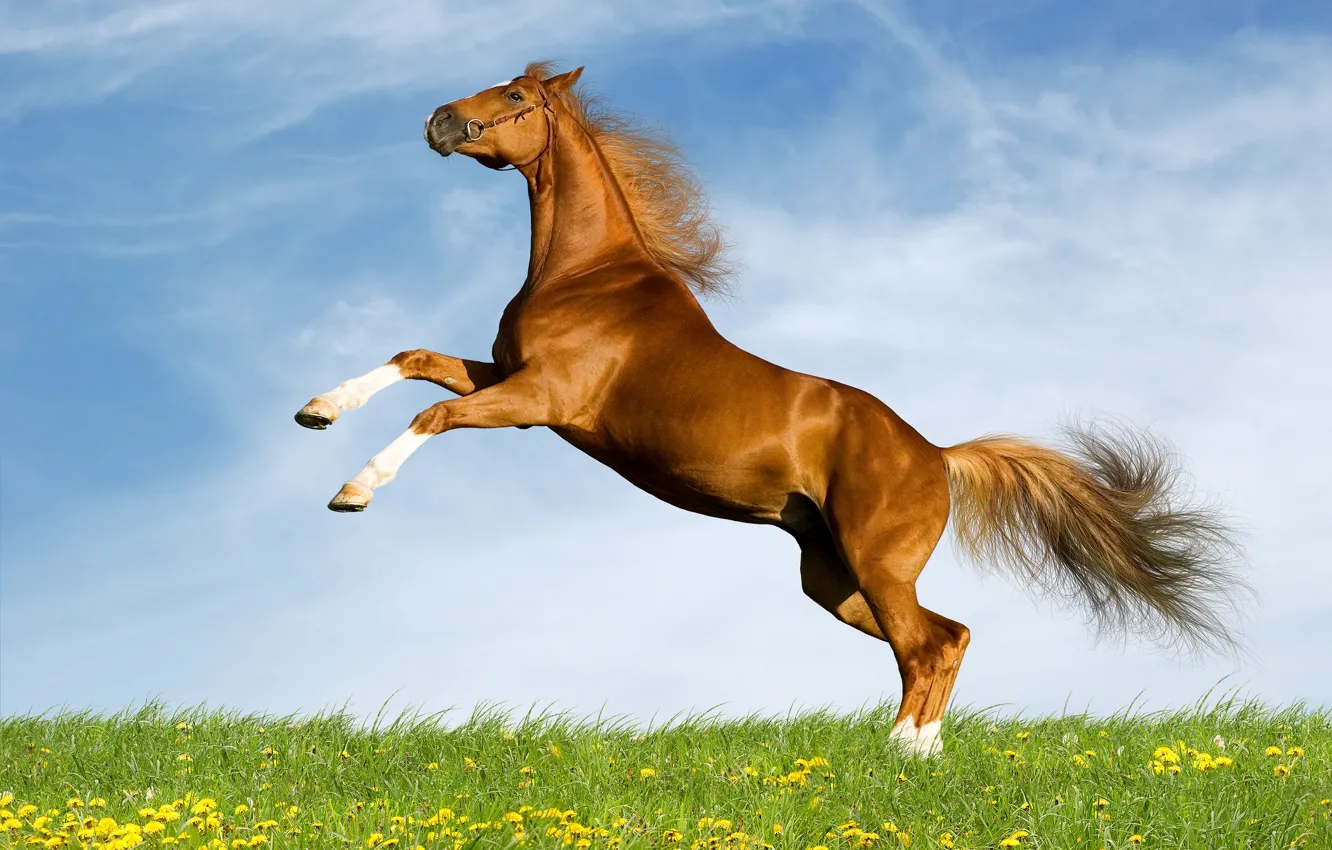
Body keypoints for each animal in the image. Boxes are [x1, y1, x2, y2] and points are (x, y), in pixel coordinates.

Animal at [294, 62, 1244, 756]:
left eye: (518, 98)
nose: (436, 121)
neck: (588, 275)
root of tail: (938, 455)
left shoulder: (538, 401)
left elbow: (430, 418)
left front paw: (351, 491)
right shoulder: (500, 372)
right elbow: (414, 360)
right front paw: (317, 410)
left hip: (877, 565)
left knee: (930, 644)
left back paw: (900, 753)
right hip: (835, 579)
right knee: (947, 635)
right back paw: (923, 753)